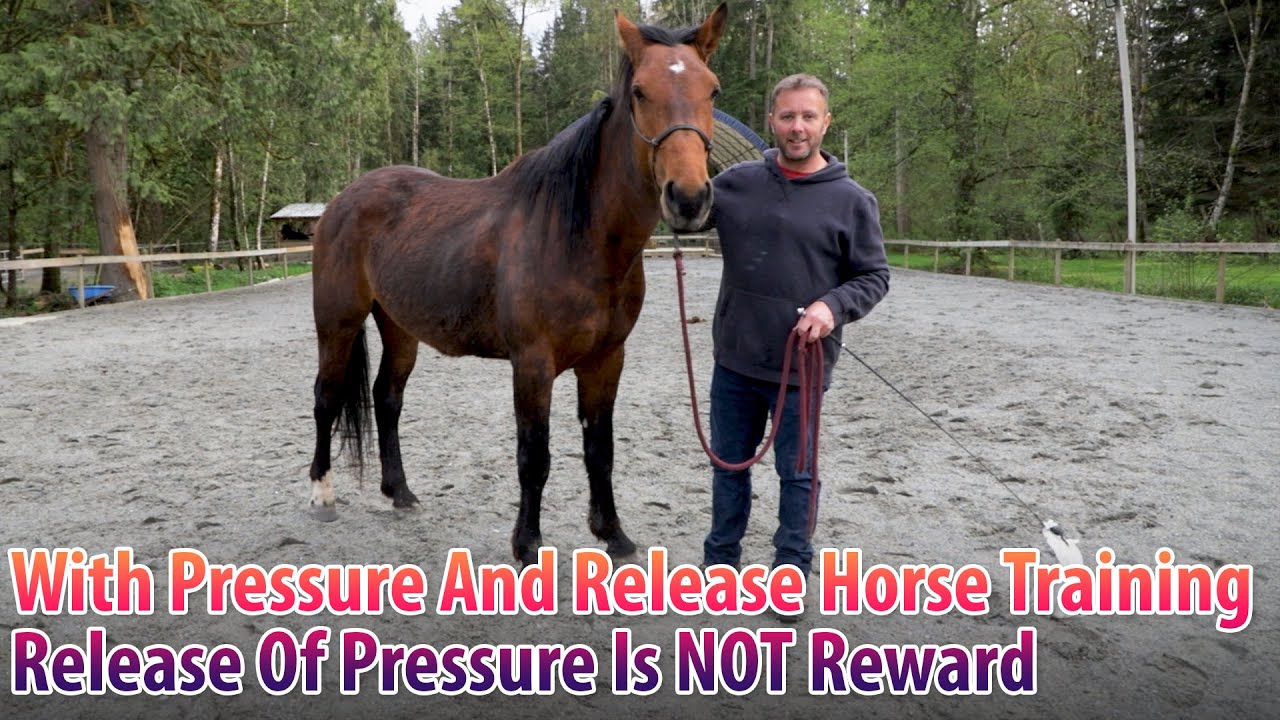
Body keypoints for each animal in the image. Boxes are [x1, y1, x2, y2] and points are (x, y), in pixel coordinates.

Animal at [307, 5, 728, 565]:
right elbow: (535, 455)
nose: (688, 198)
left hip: (398, 327)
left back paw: (401, 492)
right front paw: (527, 544)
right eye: (640, 91)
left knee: (387, 398)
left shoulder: (606, 359)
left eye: (712, 90)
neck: (577, 236)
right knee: (326, 398)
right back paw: (322, 494)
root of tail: (343, 199)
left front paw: (613, 534)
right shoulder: (532, 363)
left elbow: (600, 450)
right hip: (338, 322)